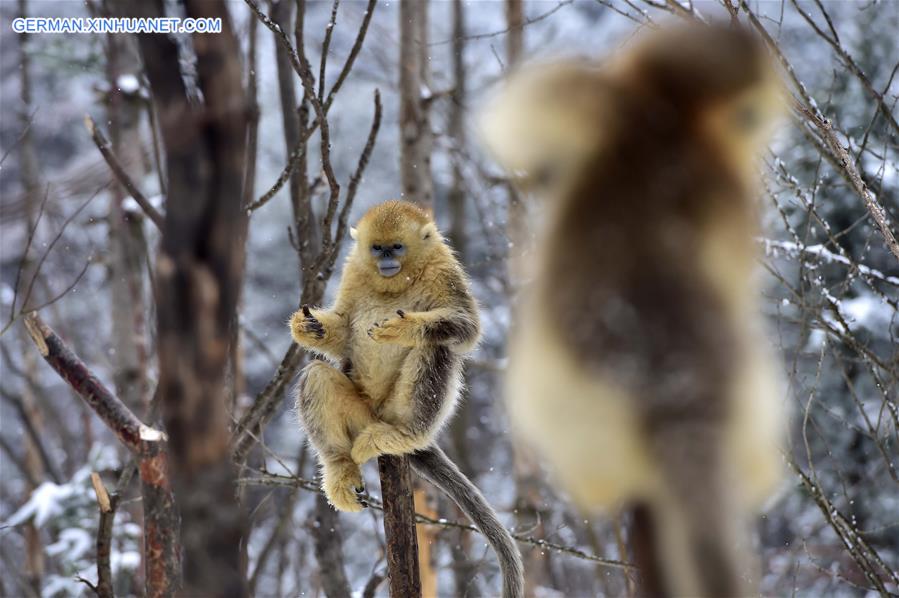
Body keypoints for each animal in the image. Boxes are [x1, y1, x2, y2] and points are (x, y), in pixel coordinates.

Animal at [290, 200, 528, 598]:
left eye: (397, 247)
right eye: (377, 248)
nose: (387, 260)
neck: (393, 283)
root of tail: (379, 417)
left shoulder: (445, 268)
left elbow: (467, 329)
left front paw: (405, 327)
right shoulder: (354, 269)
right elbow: (342, 334)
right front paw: (309, 327)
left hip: (396, 408)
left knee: (436, 347)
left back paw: (405, 434)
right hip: (361, 412)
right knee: (317, 375)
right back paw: (340, 467)